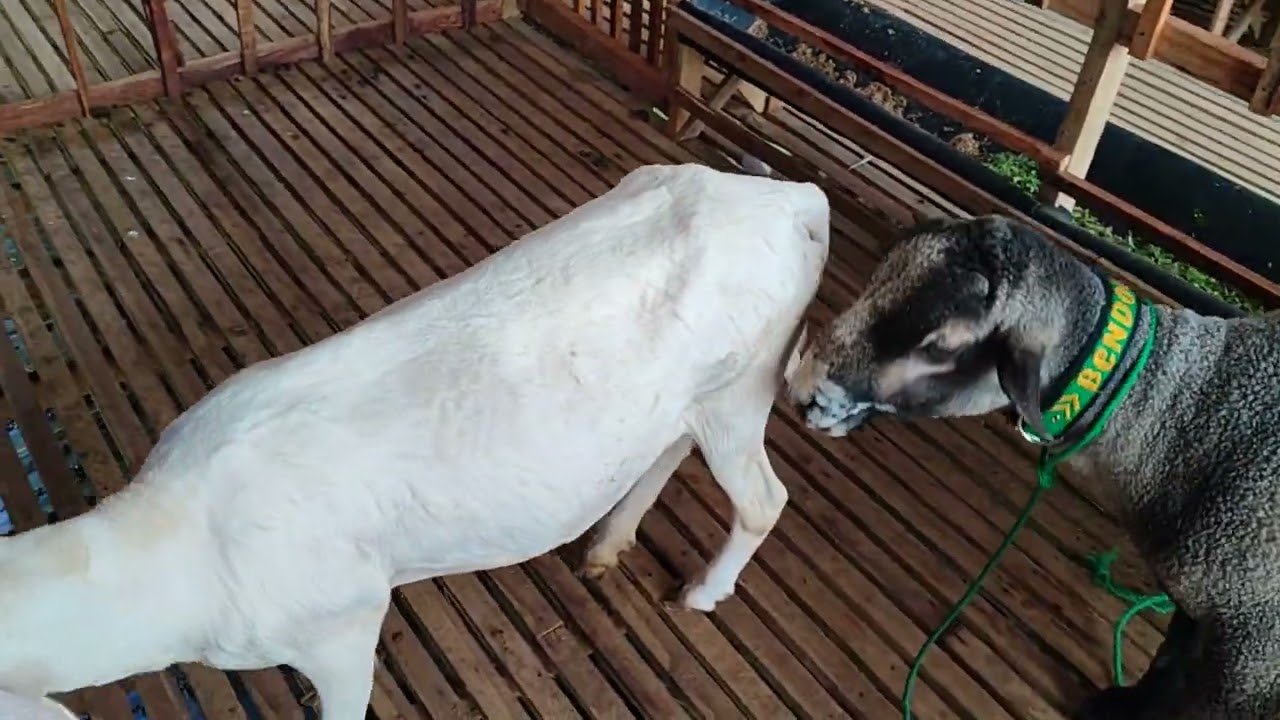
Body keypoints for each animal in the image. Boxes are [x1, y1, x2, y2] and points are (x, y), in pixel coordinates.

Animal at [0, 163, 831, 720]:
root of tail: (796, 197)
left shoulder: (343, 624)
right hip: (694, 396)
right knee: (667, 449)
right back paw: (606, 545)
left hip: (747, 382)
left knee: (763, 499)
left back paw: (701, 594)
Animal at [785, 213, 1280, 720]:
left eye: (941, 347)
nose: (803, 391)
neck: (1185, 415)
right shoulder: (1205, 604)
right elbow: (1166, 660)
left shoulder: (1253, 643)